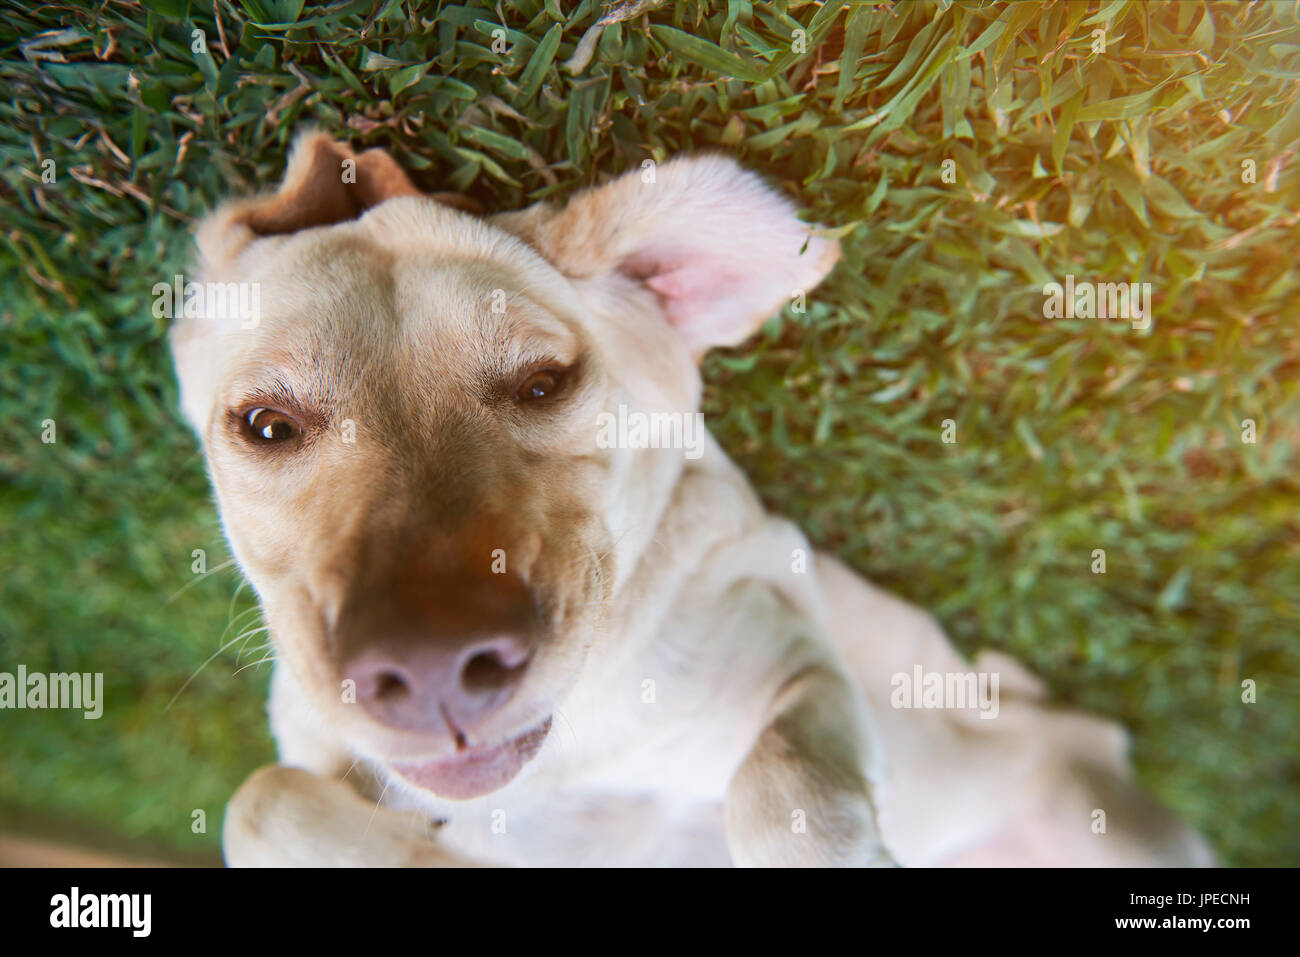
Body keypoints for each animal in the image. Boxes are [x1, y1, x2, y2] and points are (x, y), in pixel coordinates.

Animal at [167, 128, 1211, 868]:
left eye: (543, 383)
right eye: (266, 425)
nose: (431, 669)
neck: (573, 749)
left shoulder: (797, 667)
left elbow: (790, 796)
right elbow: (259, 799)